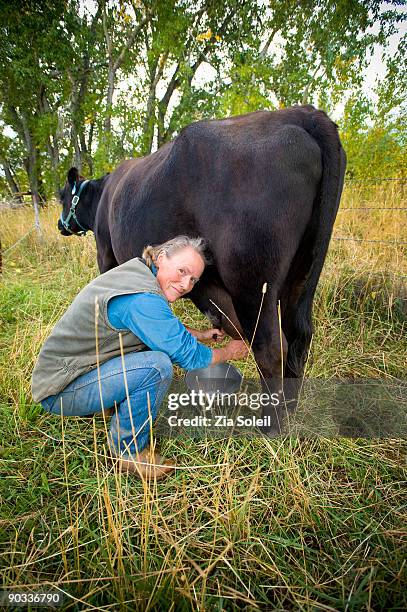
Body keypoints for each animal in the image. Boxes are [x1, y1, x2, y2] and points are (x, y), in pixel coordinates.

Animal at [59, 105, 348, 430]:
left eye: (62, 196)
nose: (60, 224)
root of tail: (302, 113)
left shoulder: (106, 255)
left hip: (251, 281)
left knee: (272, 347)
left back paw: (270, 426)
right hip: (302, 275)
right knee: (299, 336)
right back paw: (289, 410)